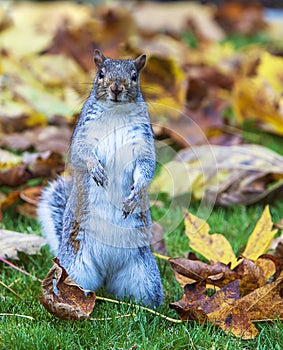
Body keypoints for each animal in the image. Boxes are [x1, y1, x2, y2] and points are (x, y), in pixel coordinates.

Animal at [36, 49, 163, 306]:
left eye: (134, 76)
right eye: (101, 73)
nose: (116, 88)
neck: (115, 114)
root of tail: (107, 270)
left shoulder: (143, 143)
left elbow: (146, 168)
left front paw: (134, 196)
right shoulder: (83, 137)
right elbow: (82, 154)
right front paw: (95, 170)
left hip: (144, 275)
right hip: (73, 267)